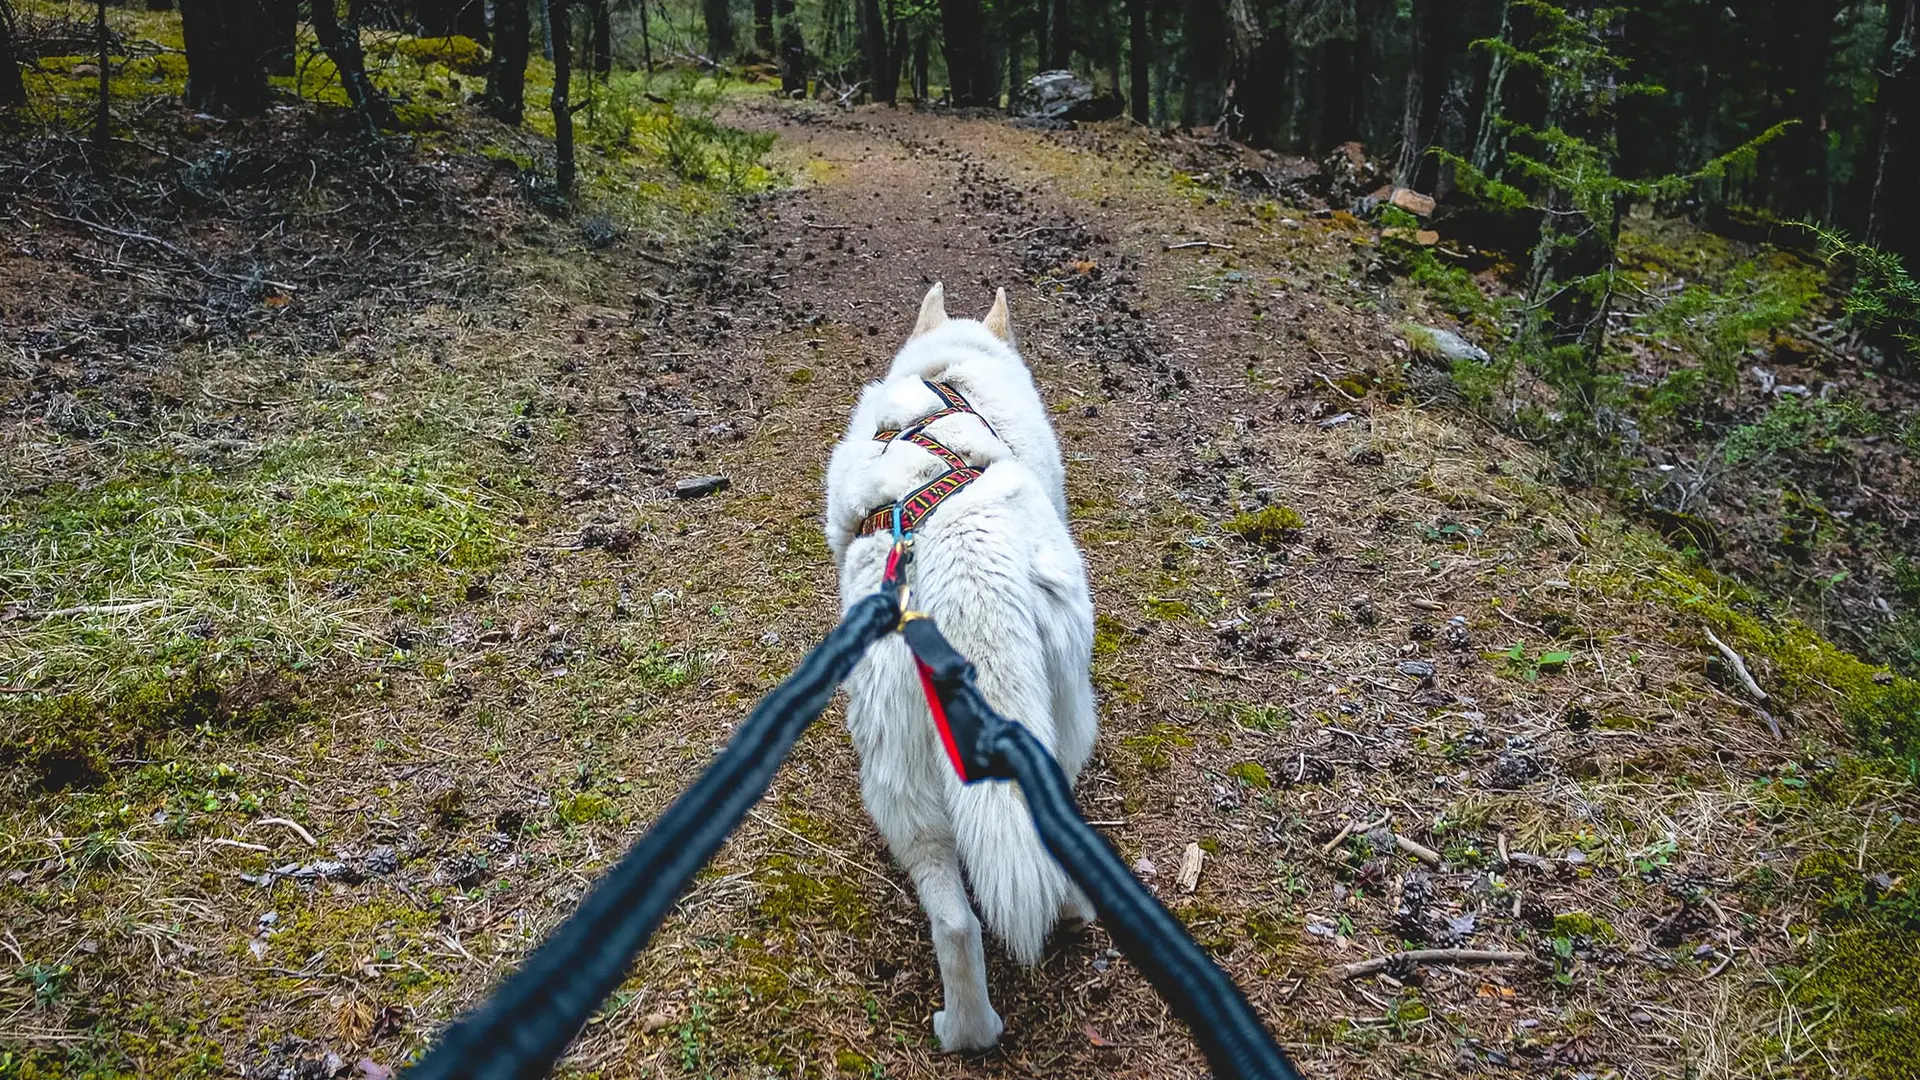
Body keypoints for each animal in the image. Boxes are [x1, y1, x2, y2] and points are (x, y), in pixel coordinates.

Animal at [821, 282, 1098, 1045]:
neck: (951, 377)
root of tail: (965, 577)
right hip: (1053, 722)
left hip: (902, 781)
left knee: (953, 922)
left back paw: (965, 1030)